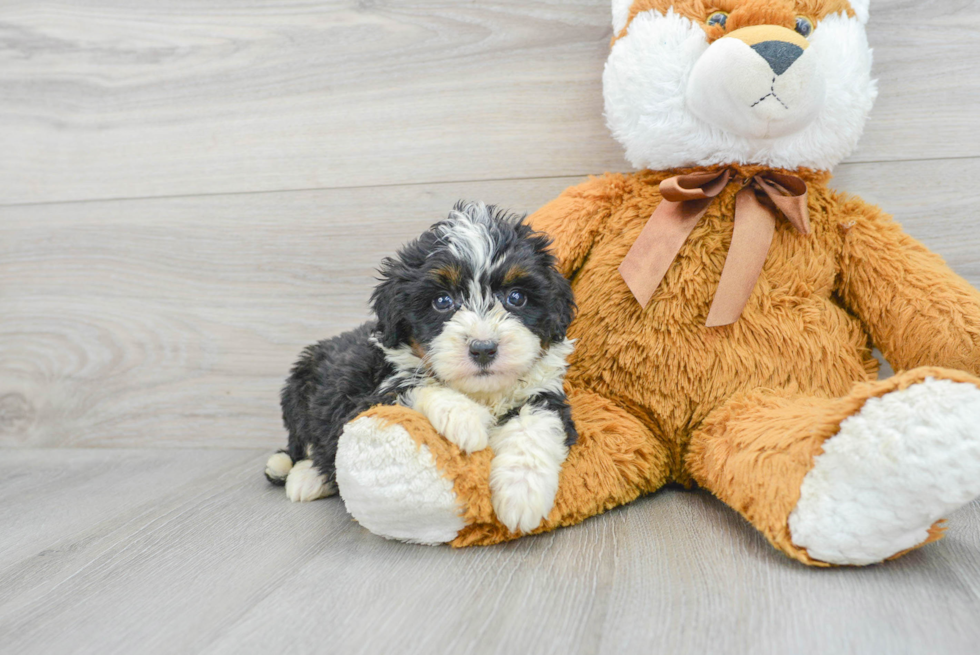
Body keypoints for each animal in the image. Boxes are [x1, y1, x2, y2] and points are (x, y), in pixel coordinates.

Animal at [264, 202, 580, 536]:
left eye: (516, 297)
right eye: (442, 301)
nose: (483, 348)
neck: (482, 393)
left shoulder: (542, 391)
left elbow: (536, 423)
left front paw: (522, 491)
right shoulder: (362, 398)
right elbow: (414, 384)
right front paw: (465, 417)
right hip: (298, 393)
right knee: (306, 446)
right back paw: (304, 477)